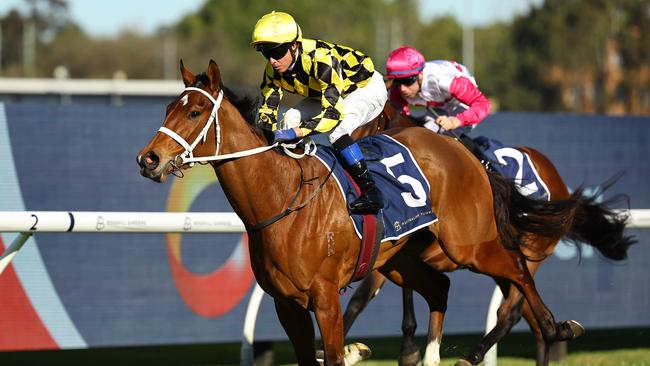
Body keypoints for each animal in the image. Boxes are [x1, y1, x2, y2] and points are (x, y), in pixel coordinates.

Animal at [342, 104, 636, 364]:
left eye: (366, 123)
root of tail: (556, 178)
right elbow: (362, 299)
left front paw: (405, 350)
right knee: (531, 320)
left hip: (527, 251)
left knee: (511, 309)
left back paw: (471, 357)